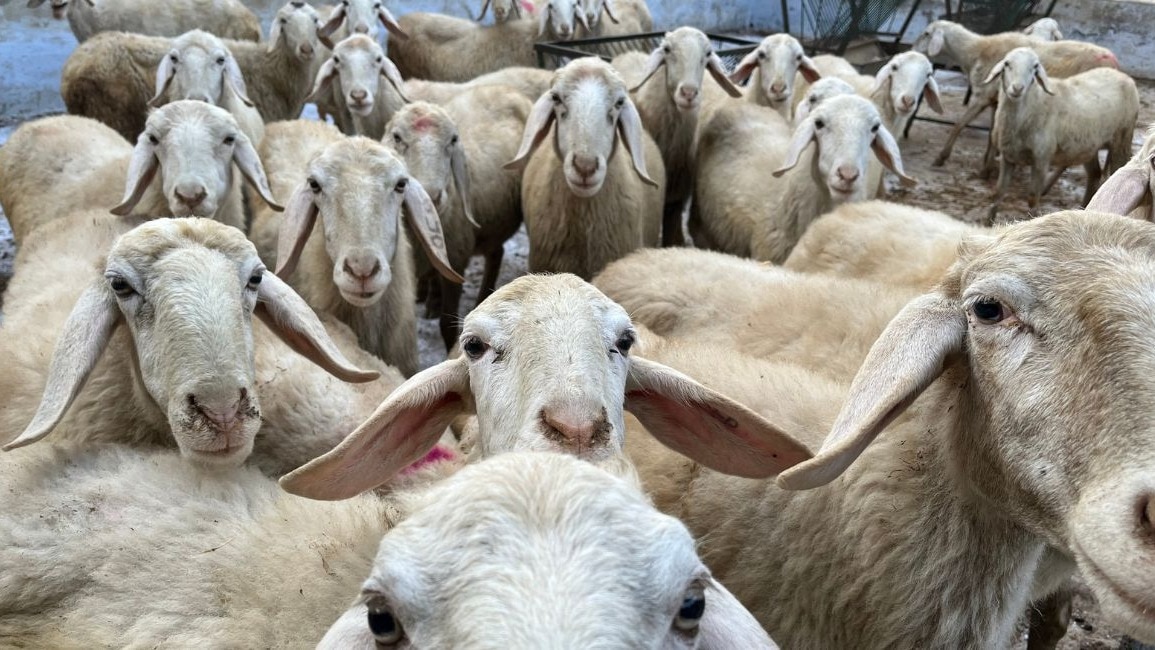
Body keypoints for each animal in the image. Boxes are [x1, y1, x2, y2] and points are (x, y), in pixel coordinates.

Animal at [59, 1, 324, 141]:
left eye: (315, 20)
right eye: (285, 22)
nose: (306, 49)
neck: (274, 68)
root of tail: (73, 65)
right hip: (112, 115)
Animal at [384, 87, 532, 350]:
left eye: (453, 140)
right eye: (397, 137)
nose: (431, 196)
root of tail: (509, 91)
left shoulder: (457, 259)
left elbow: (447, 323)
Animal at [612, 27, 742, 247]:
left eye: (707, 54)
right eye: (667, 49)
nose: (688, 93)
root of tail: (629, 53)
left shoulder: (676, 198)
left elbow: (673, 237)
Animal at [912, 19, 1119, 171]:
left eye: (927, 33)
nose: (911, 50)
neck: (975, 50)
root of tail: (1114, 61)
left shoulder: (981, 96)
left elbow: (959, 125)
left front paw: (941, 157)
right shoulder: (996, 101)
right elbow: (992, 134)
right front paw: (987, 164)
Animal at [984, 47, 1138, 224]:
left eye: (1035, 67)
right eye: (1007, 64)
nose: (1017, 88)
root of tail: (1125, 76)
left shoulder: (1041, 160)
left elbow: (1032, 198)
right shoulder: (1008, 156)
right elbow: (998, 192)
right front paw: (988, 222)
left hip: (1122, 138)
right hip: (1088, 145)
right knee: (1094, 174)